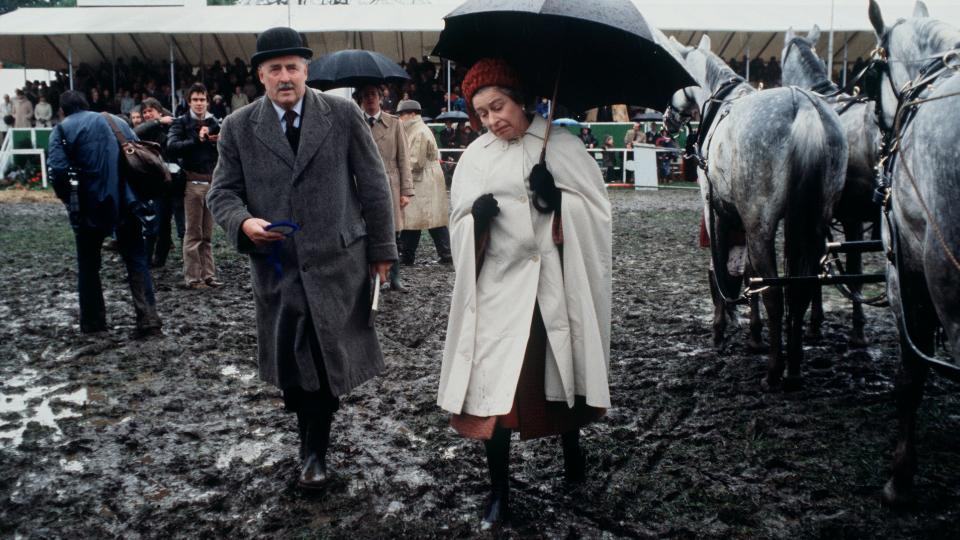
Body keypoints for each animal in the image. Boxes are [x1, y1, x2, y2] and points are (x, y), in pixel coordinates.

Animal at [664, 35, 844, 390]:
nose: (666, 119)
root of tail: (803, 107)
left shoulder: (717, 211)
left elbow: (720, 268)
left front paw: (721, 328)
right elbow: (748, 273)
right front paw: (754, 334)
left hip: (761, 224)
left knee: (774, 291)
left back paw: (774, 371)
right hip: (813, 223)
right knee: (800, 289)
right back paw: (793, 367)